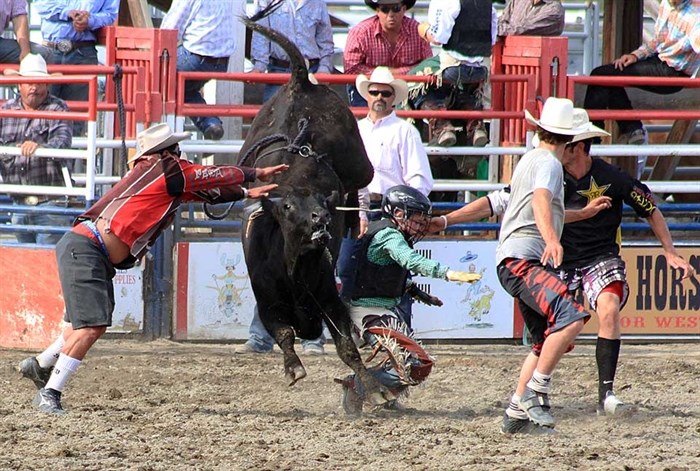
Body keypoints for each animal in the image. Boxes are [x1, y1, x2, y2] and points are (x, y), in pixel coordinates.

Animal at [238, 14, 386, 406]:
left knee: (358, 180)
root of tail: (299, 82)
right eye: (288, 207)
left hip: (360, 163)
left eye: (322, 202)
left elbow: (347, 346)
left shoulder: (329, 297)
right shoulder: (267, 301)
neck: (293, 264)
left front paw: (377, 389)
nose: (323, 219)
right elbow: (284, 333)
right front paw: (294, 368)